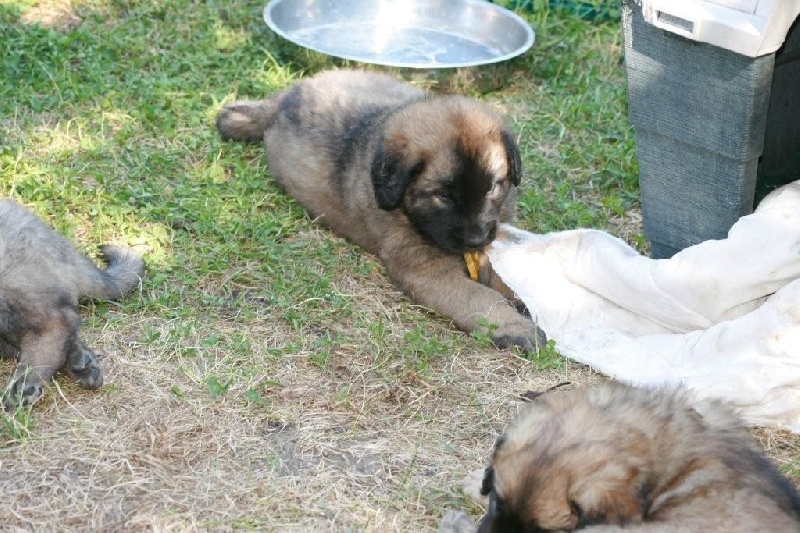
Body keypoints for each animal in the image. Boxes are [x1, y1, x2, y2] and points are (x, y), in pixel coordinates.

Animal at [216, 69, 543, 351]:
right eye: (443, 196)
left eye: (493, 187)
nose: (476, 240)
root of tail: (288, 96)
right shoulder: (425, 269)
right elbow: (479, 297)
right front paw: (514, 325)